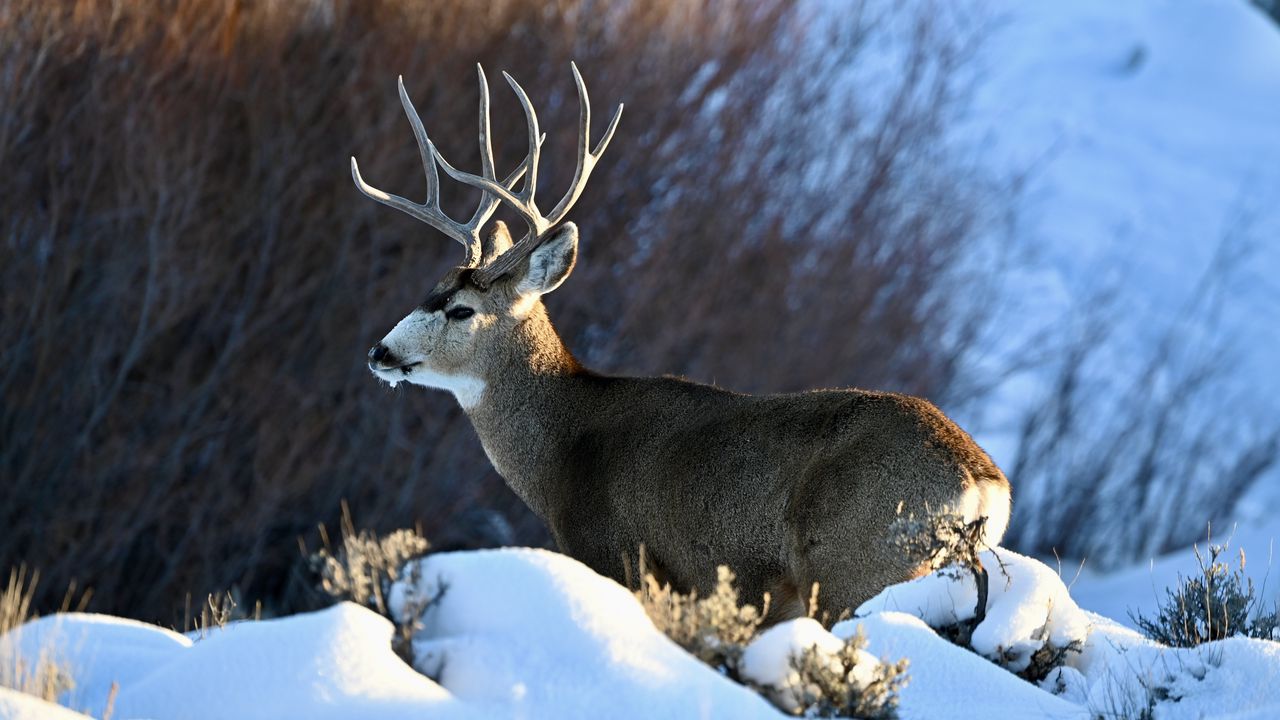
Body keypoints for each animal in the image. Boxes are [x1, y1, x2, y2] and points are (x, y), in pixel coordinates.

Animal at [350, 64, 1008, 620]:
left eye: (461, 309)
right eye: (431, 287)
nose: (379, 353)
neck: (563, 450)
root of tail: (982, 485)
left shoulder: (616, 554)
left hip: (857, 567)